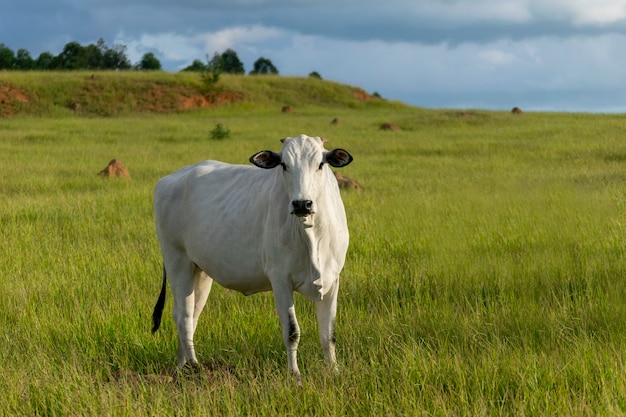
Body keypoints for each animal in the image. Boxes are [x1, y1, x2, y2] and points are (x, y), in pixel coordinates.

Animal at [151, 134, 352, 376]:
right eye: (284, 165)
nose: (302, 204)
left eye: (320, 164)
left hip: (200, 271)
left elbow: (328, 335)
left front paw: (334, 372)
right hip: (176, 261)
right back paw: (195, 367)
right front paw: (294, 375)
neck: (311, 234)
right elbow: (292, 332)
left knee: (189, 314)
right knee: (184, 316)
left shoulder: (333, 279)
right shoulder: (280, 280)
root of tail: (170, 179)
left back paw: (181, 367)